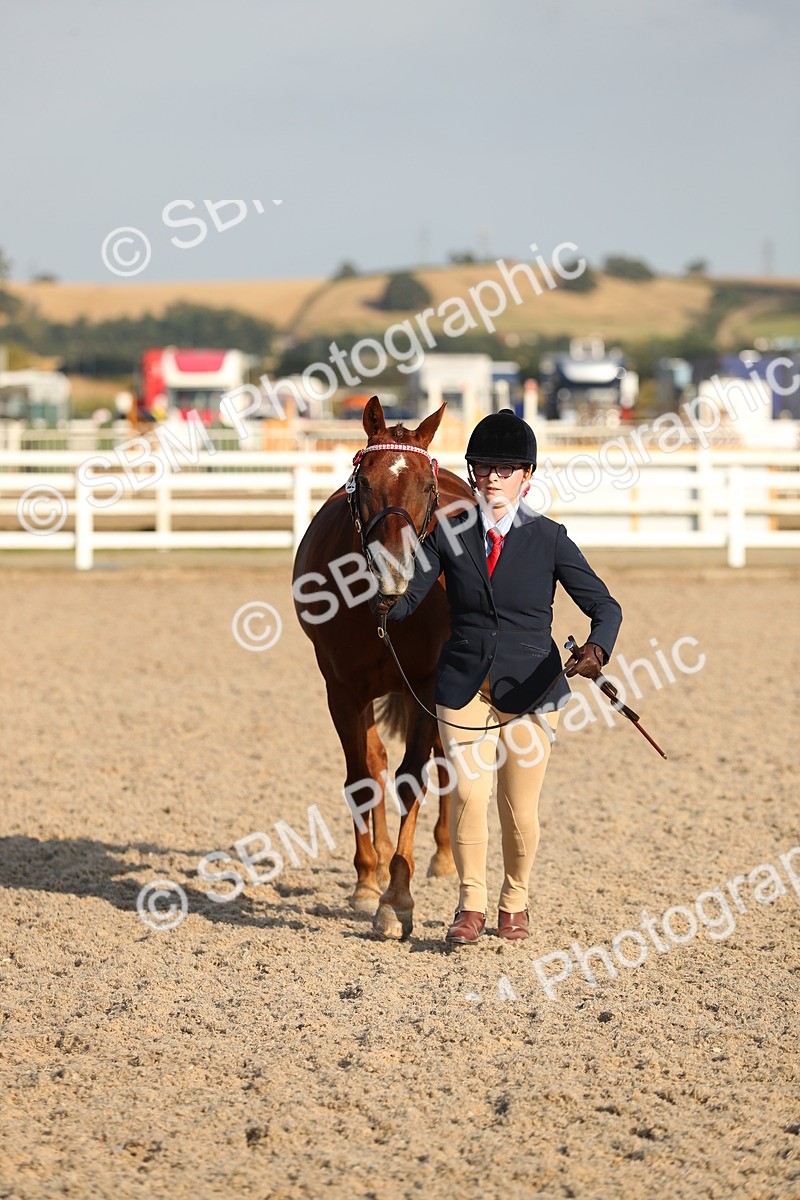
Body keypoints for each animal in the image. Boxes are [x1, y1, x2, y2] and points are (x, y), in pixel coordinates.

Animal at [292, 396, 474, 939]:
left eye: (427, 488)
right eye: (365, 482)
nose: (395, 567)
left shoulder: (428, 685)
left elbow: (413, 778)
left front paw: (397, 899)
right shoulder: (342, 688)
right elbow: (362, 776)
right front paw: (369, 883)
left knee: (441, 761)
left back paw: (441, 857)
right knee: (374, 761)